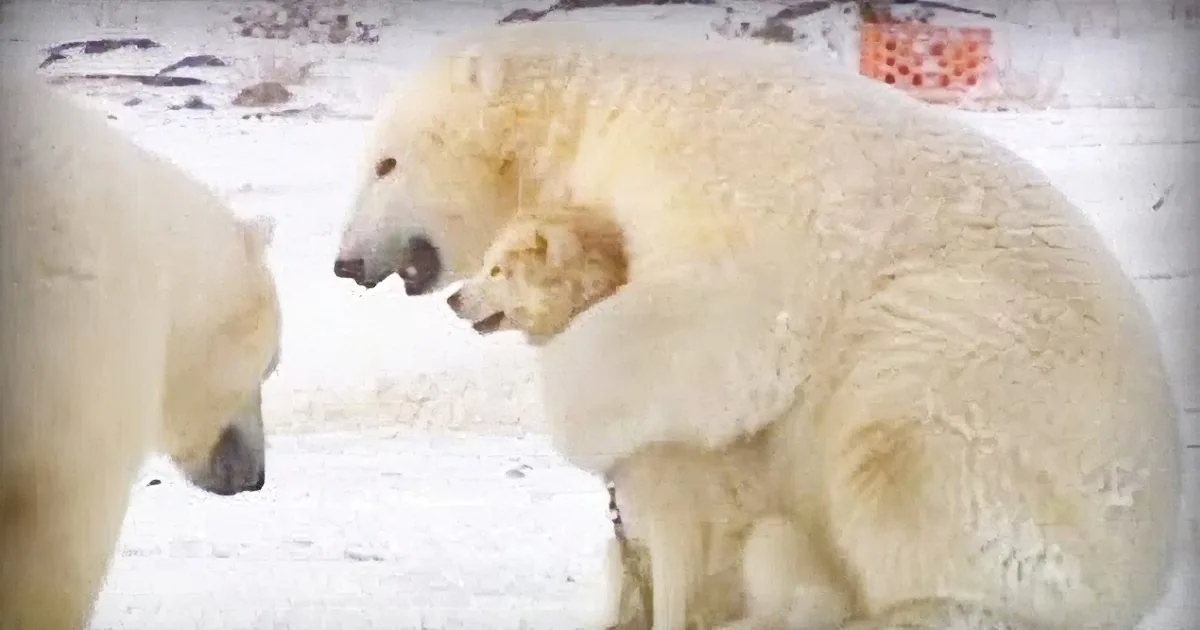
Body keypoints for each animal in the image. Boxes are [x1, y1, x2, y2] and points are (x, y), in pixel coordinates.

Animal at [445, 208, 849, 629]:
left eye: (497, 271)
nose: (450, 298)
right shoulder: (630, 532)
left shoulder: (673, 523)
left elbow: (668, 611)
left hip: (767, 539)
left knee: (791, 611)